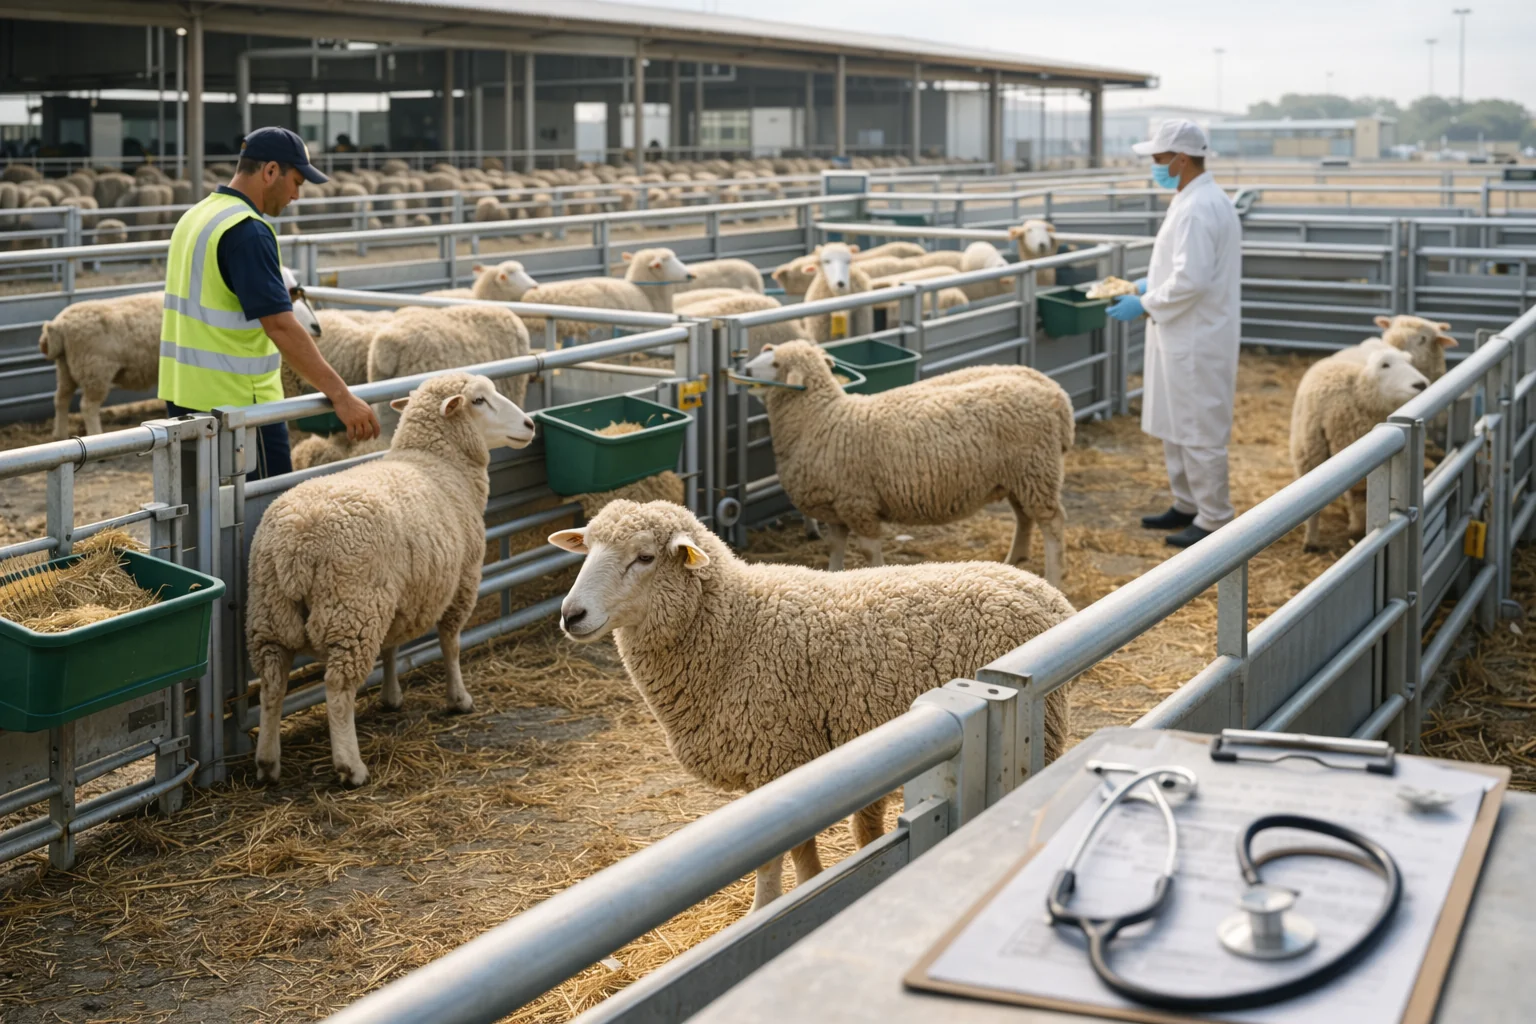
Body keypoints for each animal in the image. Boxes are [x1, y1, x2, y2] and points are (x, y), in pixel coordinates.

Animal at [248, 373, 537, 786]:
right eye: (479, 400)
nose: (530, 425)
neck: (437, 461)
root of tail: (295, 544)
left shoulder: (402, 594)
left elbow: (392, 646)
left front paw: (391, 696)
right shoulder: (462, 580)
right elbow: (451, 644)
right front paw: (458, 698)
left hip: (272, 615)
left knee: (272, 684)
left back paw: (268, 763)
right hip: (351, 610)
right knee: (337, 689)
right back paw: (350, 766)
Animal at [547, 498, 1074, 911]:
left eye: (645, 556)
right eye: (587, 550)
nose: (572, 615)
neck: (733, 626)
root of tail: (1049, 596)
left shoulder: (779, 756)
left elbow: (785, 852)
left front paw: (774, 904)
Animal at [740, 341, 1073, 584]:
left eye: (776, 364)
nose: (744, 367)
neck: (822, 416)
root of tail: (1058, 395)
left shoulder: (858, 503)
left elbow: (868, 553)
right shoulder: (836, 508)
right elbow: (835, 548)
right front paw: (833, 578)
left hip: (1036, 470)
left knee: (1053, 524)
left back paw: (1053, 578)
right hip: (1021, 476)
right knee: (1025, 517)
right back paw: (1014, 560)